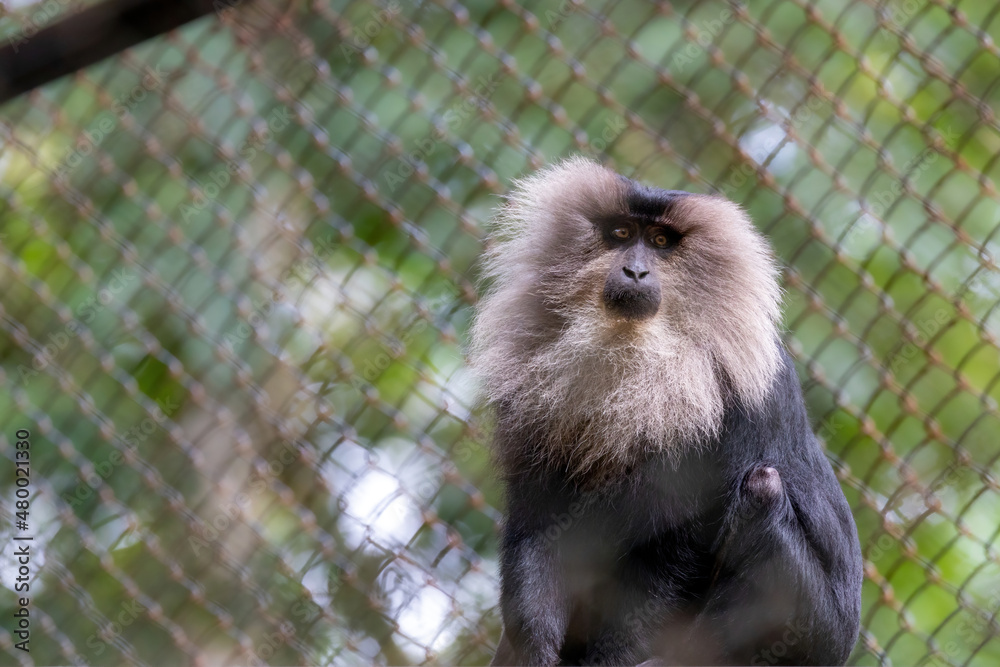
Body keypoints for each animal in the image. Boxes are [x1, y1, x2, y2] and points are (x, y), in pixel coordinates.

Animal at [469, 157, 863, 666]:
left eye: (660, 242)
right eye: (620, 233)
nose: (635, 271)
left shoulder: (728, 411)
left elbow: (673, 559)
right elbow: (541, 523)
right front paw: (535, 649)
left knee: (763, 487)